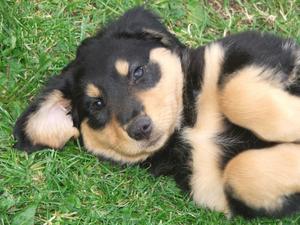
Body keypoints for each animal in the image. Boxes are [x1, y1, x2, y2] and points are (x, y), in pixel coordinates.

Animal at [13, 6, 300, 218]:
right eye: (96, 104)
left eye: (138, 71)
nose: (140, 128)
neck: (187, 128)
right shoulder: (214, 187)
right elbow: (241, 171)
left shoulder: (245, 52)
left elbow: (235, 91)